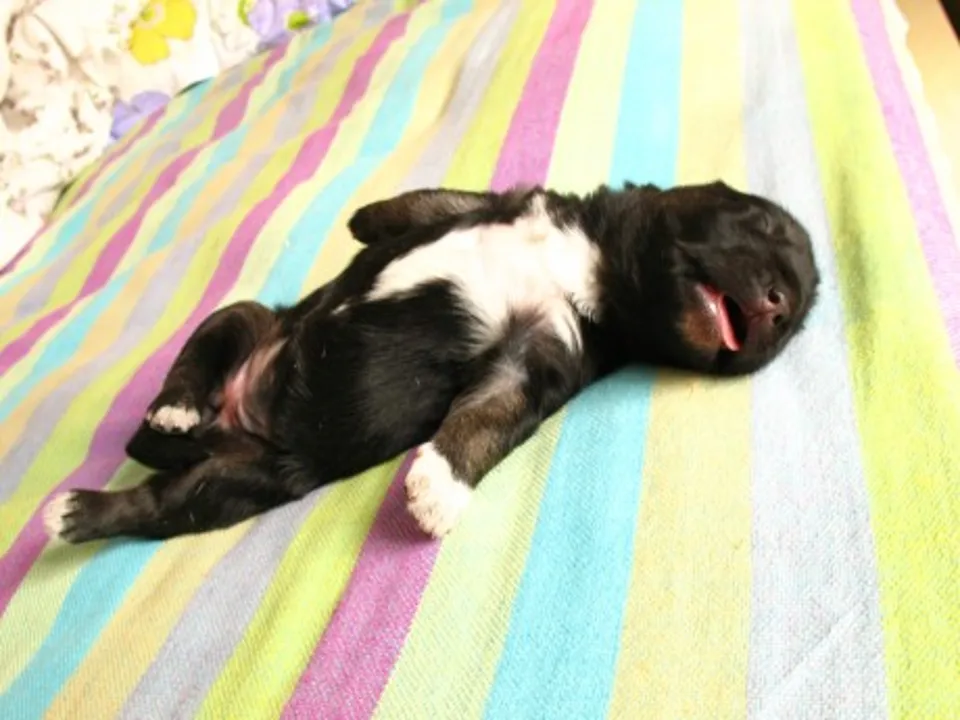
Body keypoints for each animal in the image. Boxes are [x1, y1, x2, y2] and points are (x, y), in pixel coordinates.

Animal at [43, 181, 819, 543]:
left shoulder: (537, 353)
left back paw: (74, 512)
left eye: (799, 317)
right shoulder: (502, 203)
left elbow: (486, 419)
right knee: (205, 350)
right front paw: (362, 218)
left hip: (246, 480)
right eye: (763, 224)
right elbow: (424, 202)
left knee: (159, 505)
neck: (597, 268)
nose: (782, 308)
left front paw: (438, 488)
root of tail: (229, 420)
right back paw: (174, 407)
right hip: (245, 318)